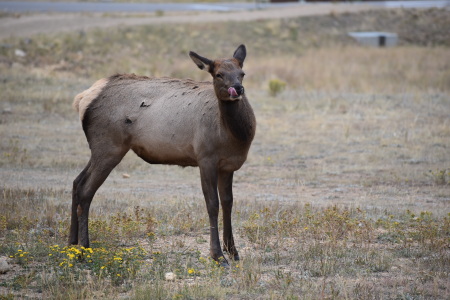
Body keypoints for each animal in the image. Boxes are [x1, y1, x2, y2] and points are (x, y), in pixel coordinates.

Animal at [68, 44, 255, 264]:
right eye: (218, 74)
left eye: (242, 73)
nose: (238, 89)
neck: (235, 136)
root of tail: (82, 99)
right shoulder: (205, 158)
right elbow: (212, 204)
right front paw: (217, 255)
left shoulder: (227, 166)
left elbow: (228, 203)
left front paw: (233, 251)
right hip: (108, 147)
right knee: (85, 190)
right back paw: (83, 250)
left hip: (100, 150)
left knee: (76, 182)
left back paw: (71, 243)